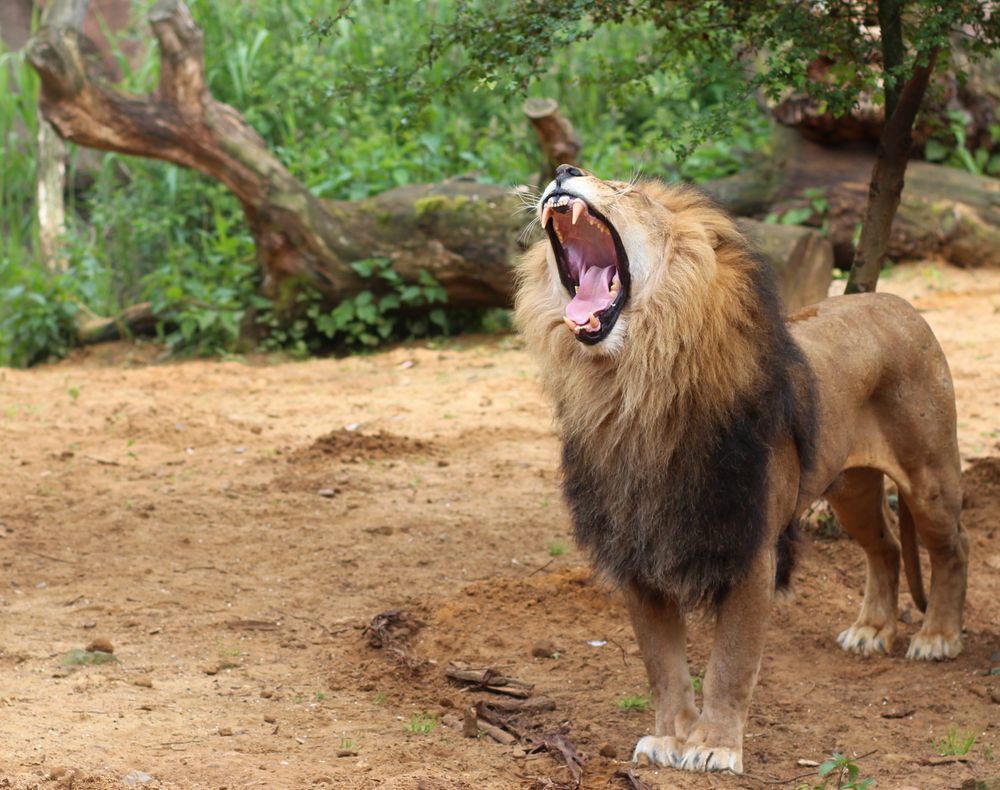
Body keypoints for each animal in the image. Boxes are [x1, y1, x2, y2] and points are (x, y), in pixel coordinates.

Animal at [516, 164, 968, 776]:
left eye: (629, 190)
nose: (564, 171)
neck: (632, 387)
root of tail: (900, 302)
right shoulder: (636, 551)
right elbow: (663, 665)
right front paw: (671, 736)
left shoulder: (749, 545)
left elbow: (730, 662)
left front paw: (714, 744)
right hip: (850, 489)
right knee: (888, 547)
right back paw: (871, 630)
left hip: (929, 476)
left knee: (951, 548)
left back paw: (938, 637)